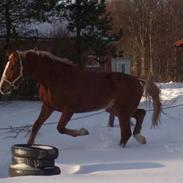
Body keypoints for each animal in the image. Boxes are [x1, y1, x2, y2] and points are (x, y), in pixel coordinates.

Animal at [0, 49, 161, 147]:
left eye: (13, 66)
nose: (3, 88)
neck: (55, 79)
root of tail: (137, 80)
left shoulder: (69, 109)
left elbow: (60, 128)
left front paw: (84, 131)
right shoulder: (47, 107)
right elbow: (36, 126)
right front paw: (27, 147)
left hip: (123, 111)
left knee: (126, 132)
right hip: (116, 110)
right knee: (140, 114)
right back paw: (140, 138)